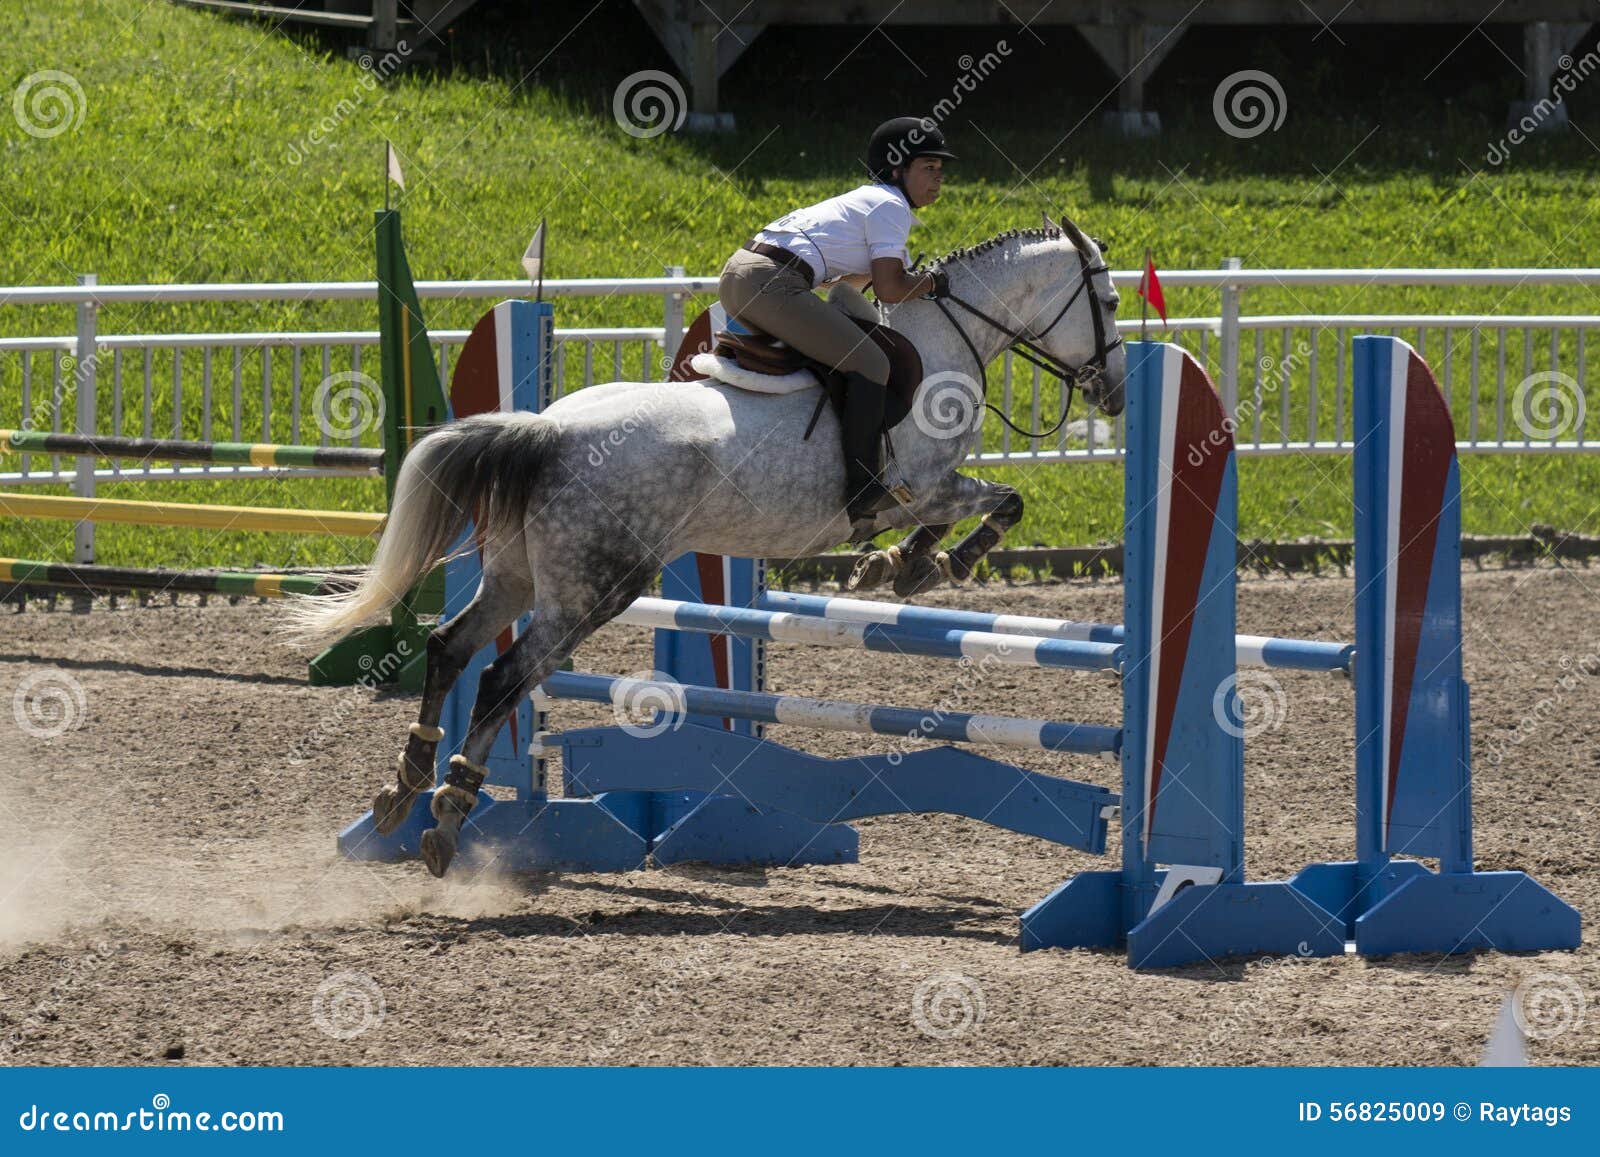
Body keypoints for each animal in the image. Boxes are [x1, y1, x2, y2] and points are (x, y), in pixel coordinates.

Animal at [284, 212, 1126, 876]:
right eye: (1112, 302)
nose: (1115, 391)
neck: (947, 337)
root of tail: (547, 430)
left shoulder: (925, 490)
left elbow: (966, 514)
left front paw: (898, 565)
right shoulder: (921, 483)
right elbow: (1002, 501)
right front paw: (925, 564)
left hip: (520, 573)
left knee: (449, 648)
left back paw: (405, 788)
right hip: (595, 587)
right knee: (504, 677)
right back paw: (450, 813)